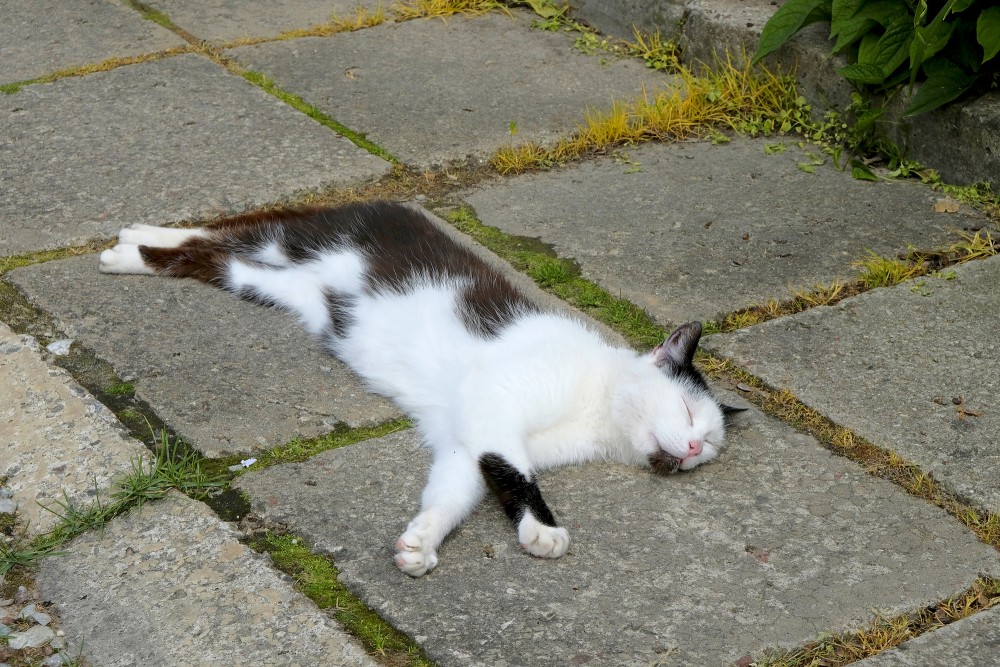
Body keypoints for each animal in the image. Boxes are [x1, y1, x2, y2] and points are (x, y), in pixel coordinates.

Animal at [101, 201, 740, 576]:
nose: (689, 450)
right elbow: (515, 473)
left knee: (214, 259)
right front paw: (541, 529)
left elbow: (458, 490)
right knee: (223, 232)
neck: (597, 405)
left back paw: (137, 243)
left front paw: (422, 539)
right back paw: (131, 246)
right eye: (688, 412)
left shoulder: (467, 440)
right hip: (296, 237)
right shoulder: (496, 399)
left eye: (709, 446)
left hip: (274, 286)